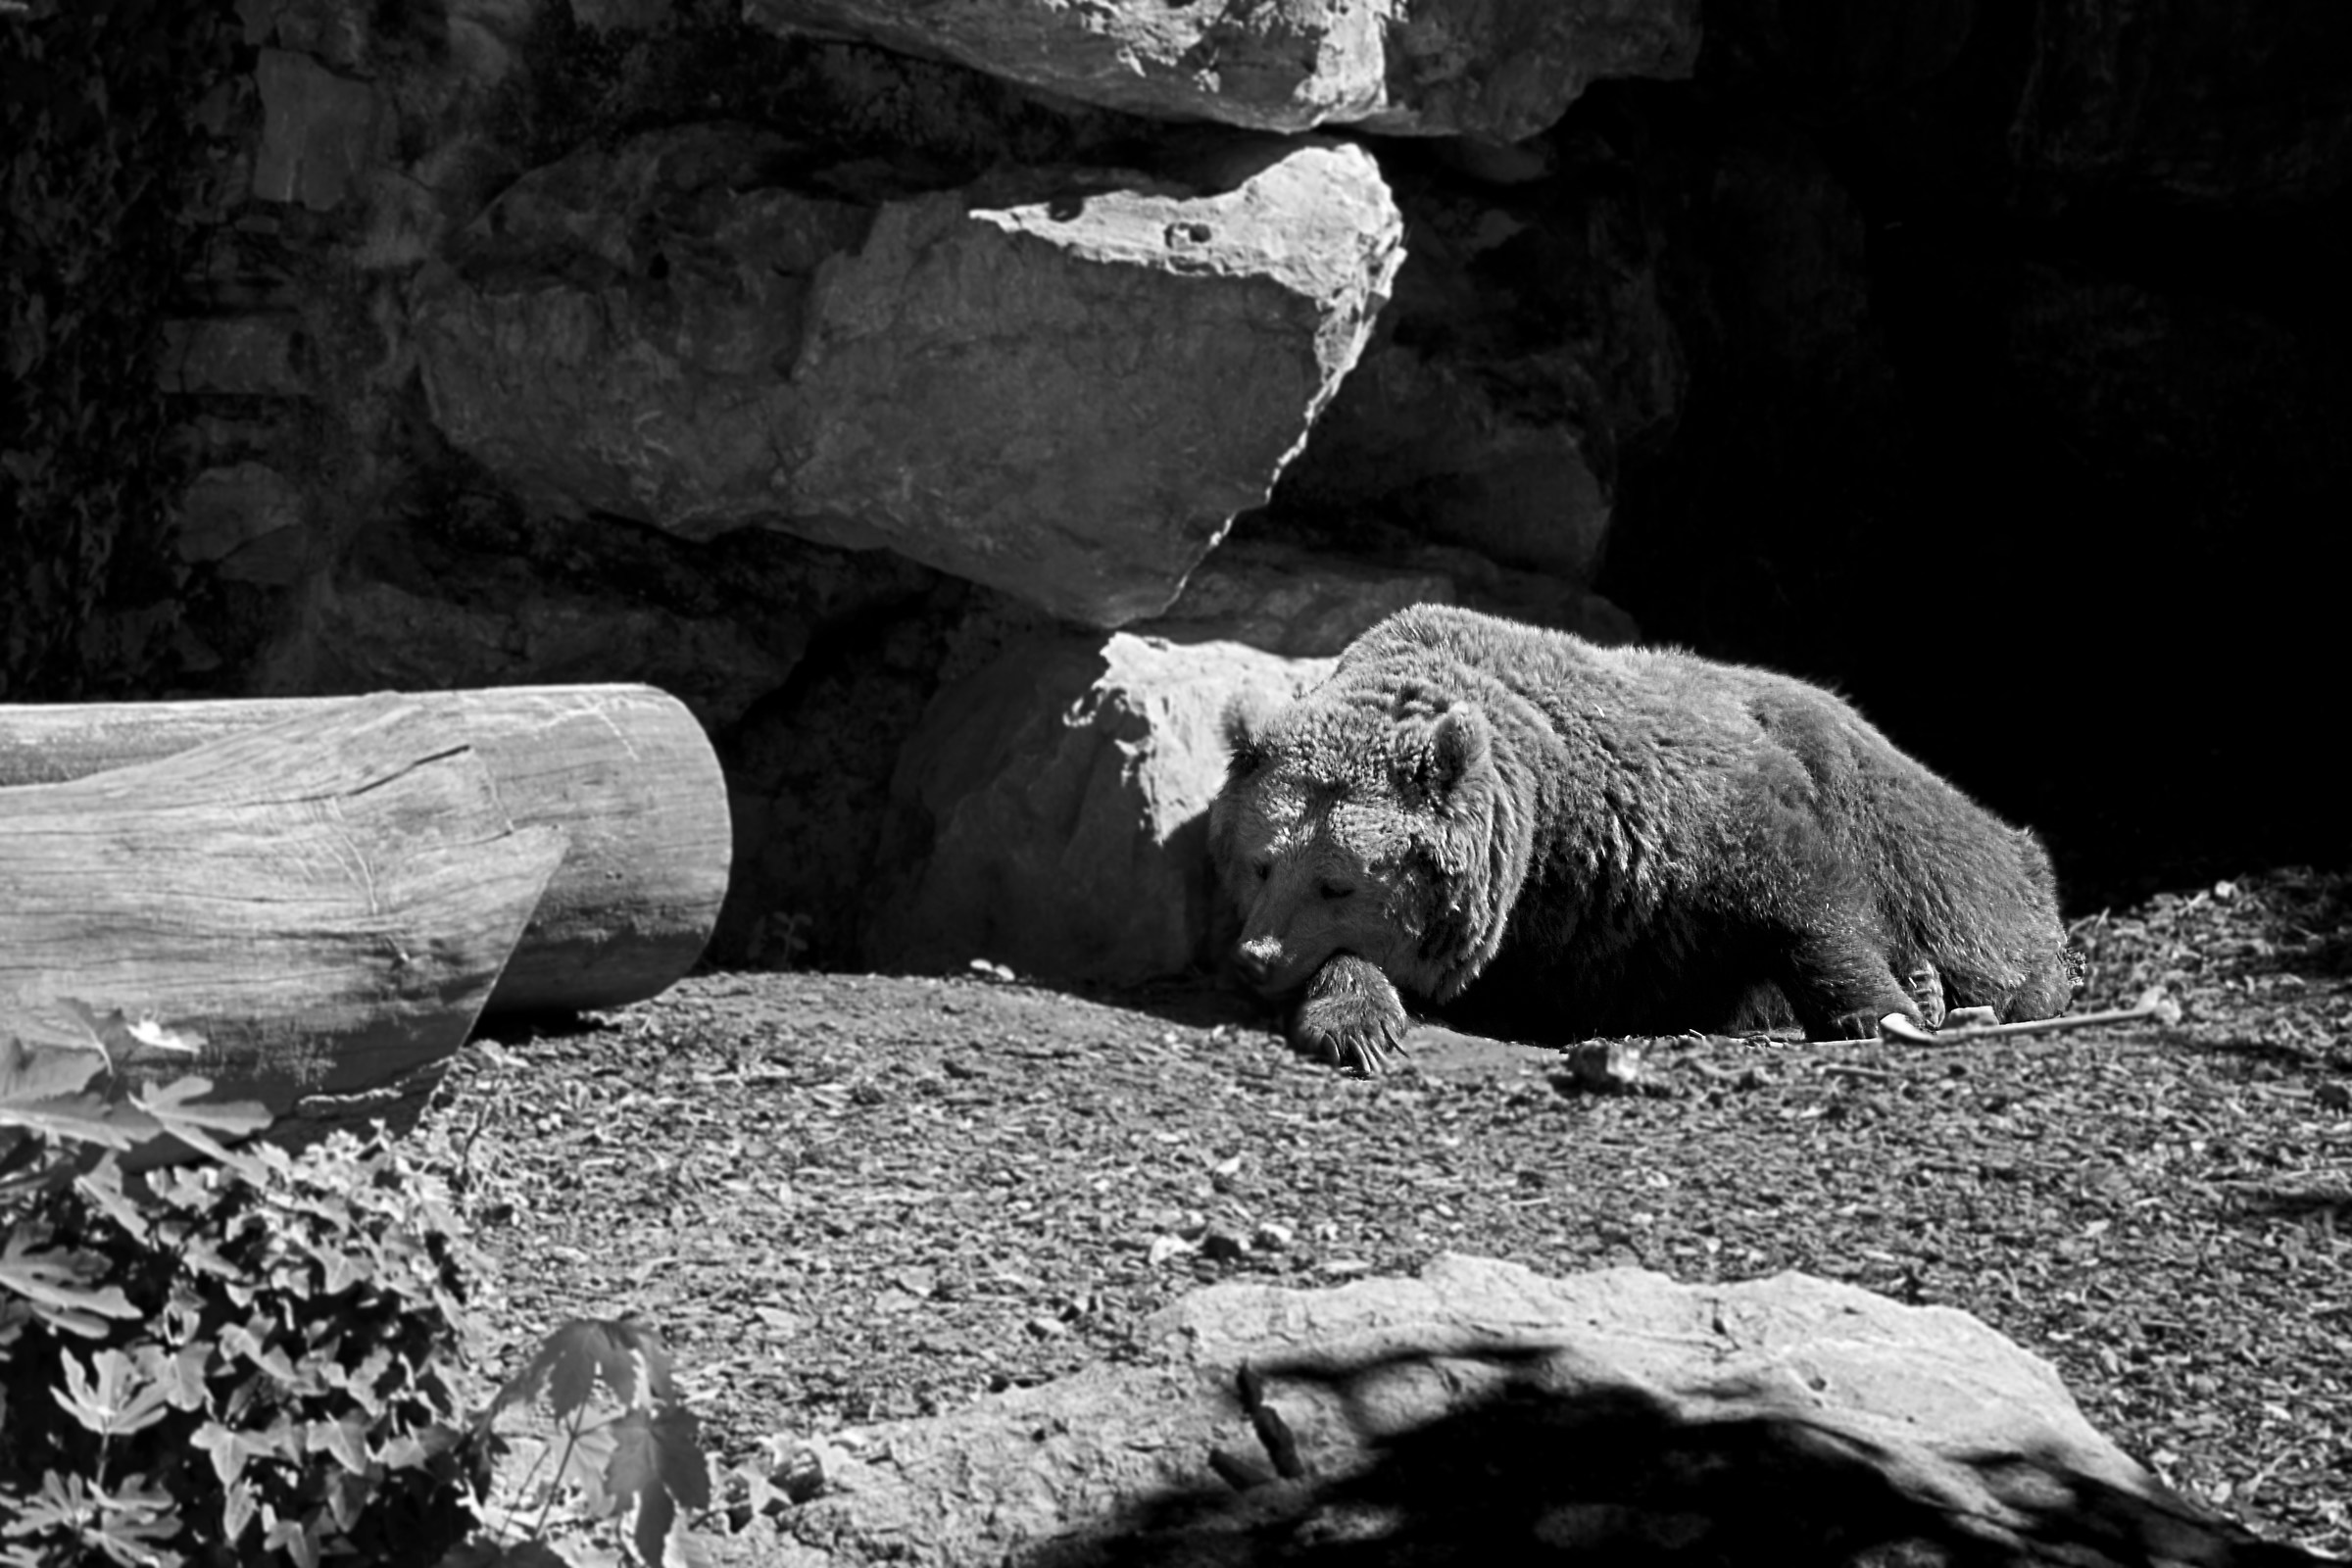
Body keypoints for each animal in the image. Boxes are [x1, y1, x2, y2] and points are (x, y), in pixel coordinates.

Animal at [1207, 604, 2080, 1071]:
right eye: (1261, 864)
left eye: (1338, 880)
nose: (1255, 957)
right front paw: (1357, 1021)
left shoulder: (1668, 816)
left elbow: (1800, 891)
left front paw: (1879, 1007)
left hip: (1890, 800)